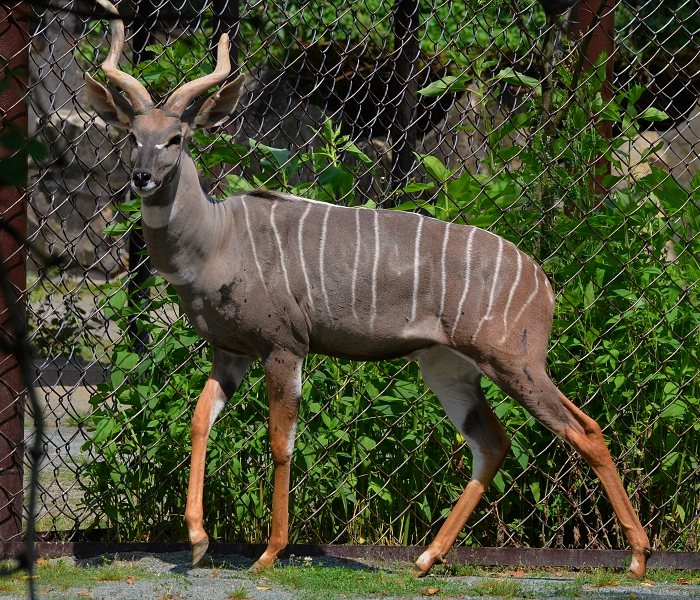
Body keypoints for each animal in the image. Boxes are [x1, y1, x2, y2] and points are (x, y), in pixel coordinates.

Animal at [86, 2, 652, 580]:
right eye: (133, 135)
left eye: (176, 138)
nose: (142, 177)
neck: (216, 240)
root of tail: (543, 283)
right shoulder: (231, 352)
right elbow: (199, 420)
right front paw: (199, 540)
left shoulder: (285, 346)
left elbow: (281, 443)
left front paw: (269, 552)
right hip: (449, 366)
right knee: (493, 443)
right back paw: (426, 558)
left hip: (516, 363)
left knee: (584, 430)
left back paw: (636, 558)